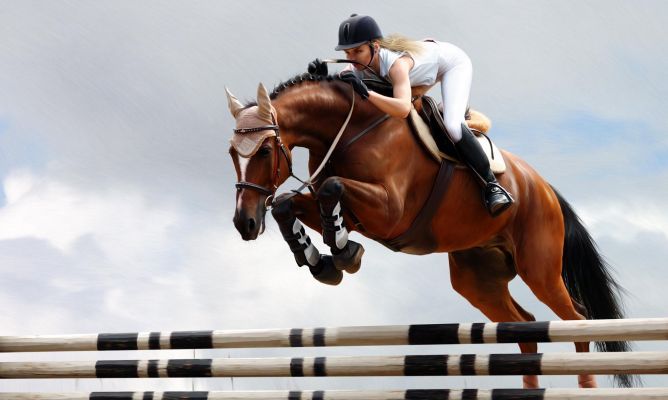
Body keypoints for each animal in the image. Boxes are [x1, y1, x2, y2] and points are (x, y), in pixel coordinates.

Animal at [226, 73, 631, 389]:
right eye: (232, 152)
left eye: (264, 151)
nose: (245, 223)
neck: (350, 130)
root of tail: (544, 188)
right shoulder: (347, 210)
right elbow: (287, 204)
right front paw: (323, 261)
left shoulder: (390, 211)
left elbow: (332, 188)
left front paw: (342, 251)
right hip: (477, 278)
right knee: (525, 327)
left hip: (539, 268)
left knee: (576, 320)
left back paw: (586, 382)